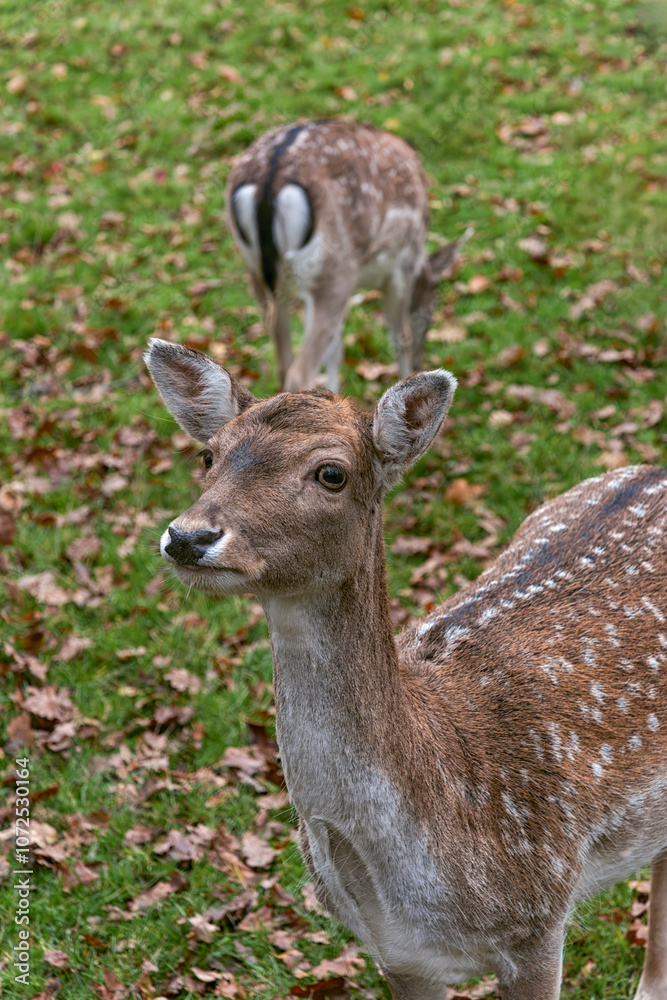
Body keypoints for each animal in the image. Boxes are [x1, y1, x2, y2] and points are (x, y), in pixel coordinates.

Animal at [225, 119, 472, 392]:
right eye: (432, 303)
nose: (421, 360)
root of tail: (269, 180)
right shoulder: (401, 267)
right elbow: (401, 337)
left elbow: (336, 348)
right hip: (335, 270)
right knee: (299, 372)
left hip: (259, 273)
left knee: (284, 363)